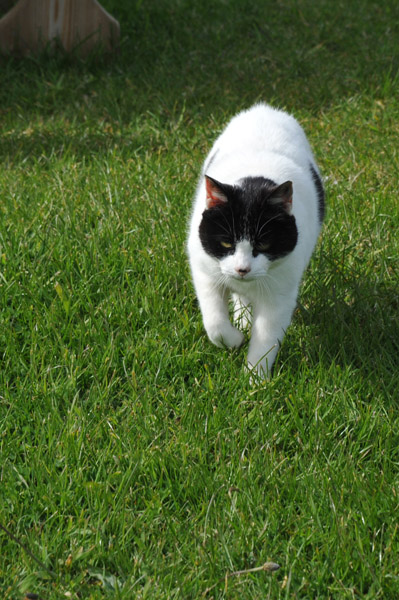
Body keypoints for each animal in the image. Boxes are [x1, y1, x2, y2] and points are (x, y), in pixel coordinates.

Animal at [188, 101, 324, 378]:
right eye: (226, 242)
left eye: (263, 244)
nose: (243, 269)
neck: (253, 181)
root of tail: (265, 108)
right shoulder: (205, 270)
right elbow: (214, 323)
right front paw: (234, 340)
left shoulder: (280, 293)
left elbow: (266, 338)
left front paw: (255, 379)